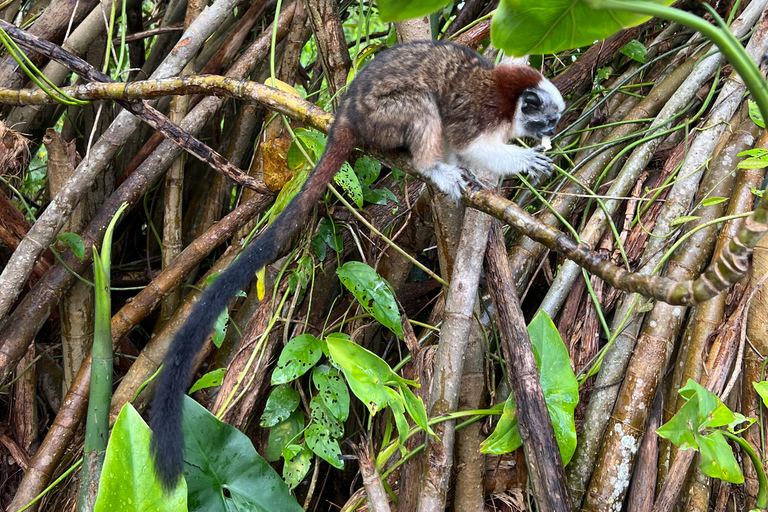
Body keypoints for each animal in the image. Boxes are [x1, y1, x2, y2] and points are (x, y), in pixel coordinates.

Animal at [148, 40, 564, 488]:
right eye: (548, 119)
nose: (554, 132)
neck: (508, 100)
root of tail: (347, 112)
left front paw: (475, 171)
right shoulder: (480, 111)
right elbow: (467, 141)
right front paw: (521, 162)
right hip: (383, 117)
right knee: (422, 104)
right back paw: (431, 166)